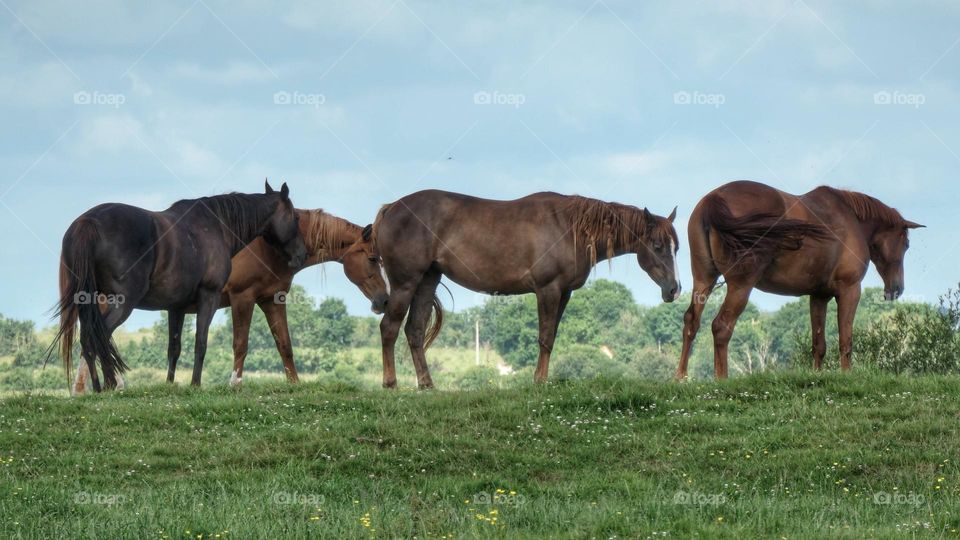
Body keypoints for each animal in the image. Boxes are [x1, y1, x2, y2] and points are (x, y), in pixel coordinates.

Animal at [53, 181, 308, 392]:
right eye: (295, 218)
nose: (302, 254)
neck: (216, 226)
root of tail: (88, 222)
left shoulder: (176, 307)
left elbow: (173, 348)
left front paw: (170, 384)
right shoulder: (209, 297)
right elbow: (200, 343)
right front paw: (195, 384)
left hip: (88, 303)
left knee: (88, 340)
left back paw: (99, 387)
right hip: (121, 304)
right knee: (99, 337)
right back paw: (111, 384)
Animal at [70, 207, 390, 392]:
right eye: (372, 258)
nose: (384, 300)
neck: (268, 245)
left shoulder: (273, 300)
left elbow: (284, 345)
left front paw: (294, 383)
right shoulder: (242, 298)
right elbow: (241, 343)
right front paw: (235, 382)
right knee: (96, 339)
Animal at [376, 190, 684, 388]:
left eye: (676, 248)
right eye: (658, 246)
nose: (674, 289)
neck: (570, 228)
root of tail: (392, 208)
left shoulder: (564, 293)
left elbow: (552, 337)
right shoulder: (548, 290)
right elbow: (545, 338)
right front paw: (539, 381)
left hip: (427, 281)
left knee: (414, 331)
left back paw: (427, 384)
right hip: (406, 284)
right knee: (389, 328)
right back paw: (390, 383)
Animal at [676, 179, 924, 378]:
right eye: (906, 244)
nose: (897, 288)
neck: (850, 219)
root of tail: (714, 199)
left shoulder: (819, 296)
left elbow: (819, 343)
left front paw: (817, 375)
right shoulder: (850, 290)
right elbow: (845, 340)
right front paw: (847, 375)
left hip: (704, 281)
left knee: (691, 322)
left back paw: (681, 376)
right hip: (740, 286)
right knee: (721, 326)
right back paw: (722, 378)